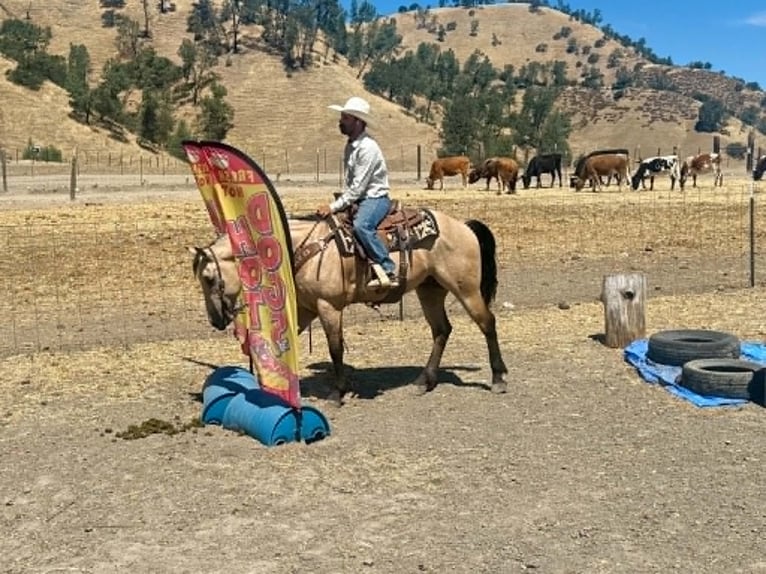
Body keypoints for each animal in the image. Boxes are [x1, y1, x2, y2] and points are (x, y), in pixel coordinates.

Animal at [188, 207, 509, 406]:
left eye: (208, 277)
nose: (215, 320)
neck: (304, 246)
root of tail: (462, 226)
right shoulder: (306, 308)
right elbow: (281, 341)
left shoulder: (328, 306)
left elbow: (335, 348)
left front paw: (337, 392)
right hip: (430, 289)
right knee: (441, 330)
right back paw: (423, 381)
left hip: (465, 288)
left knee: (487, 323)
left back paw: (498, 378)